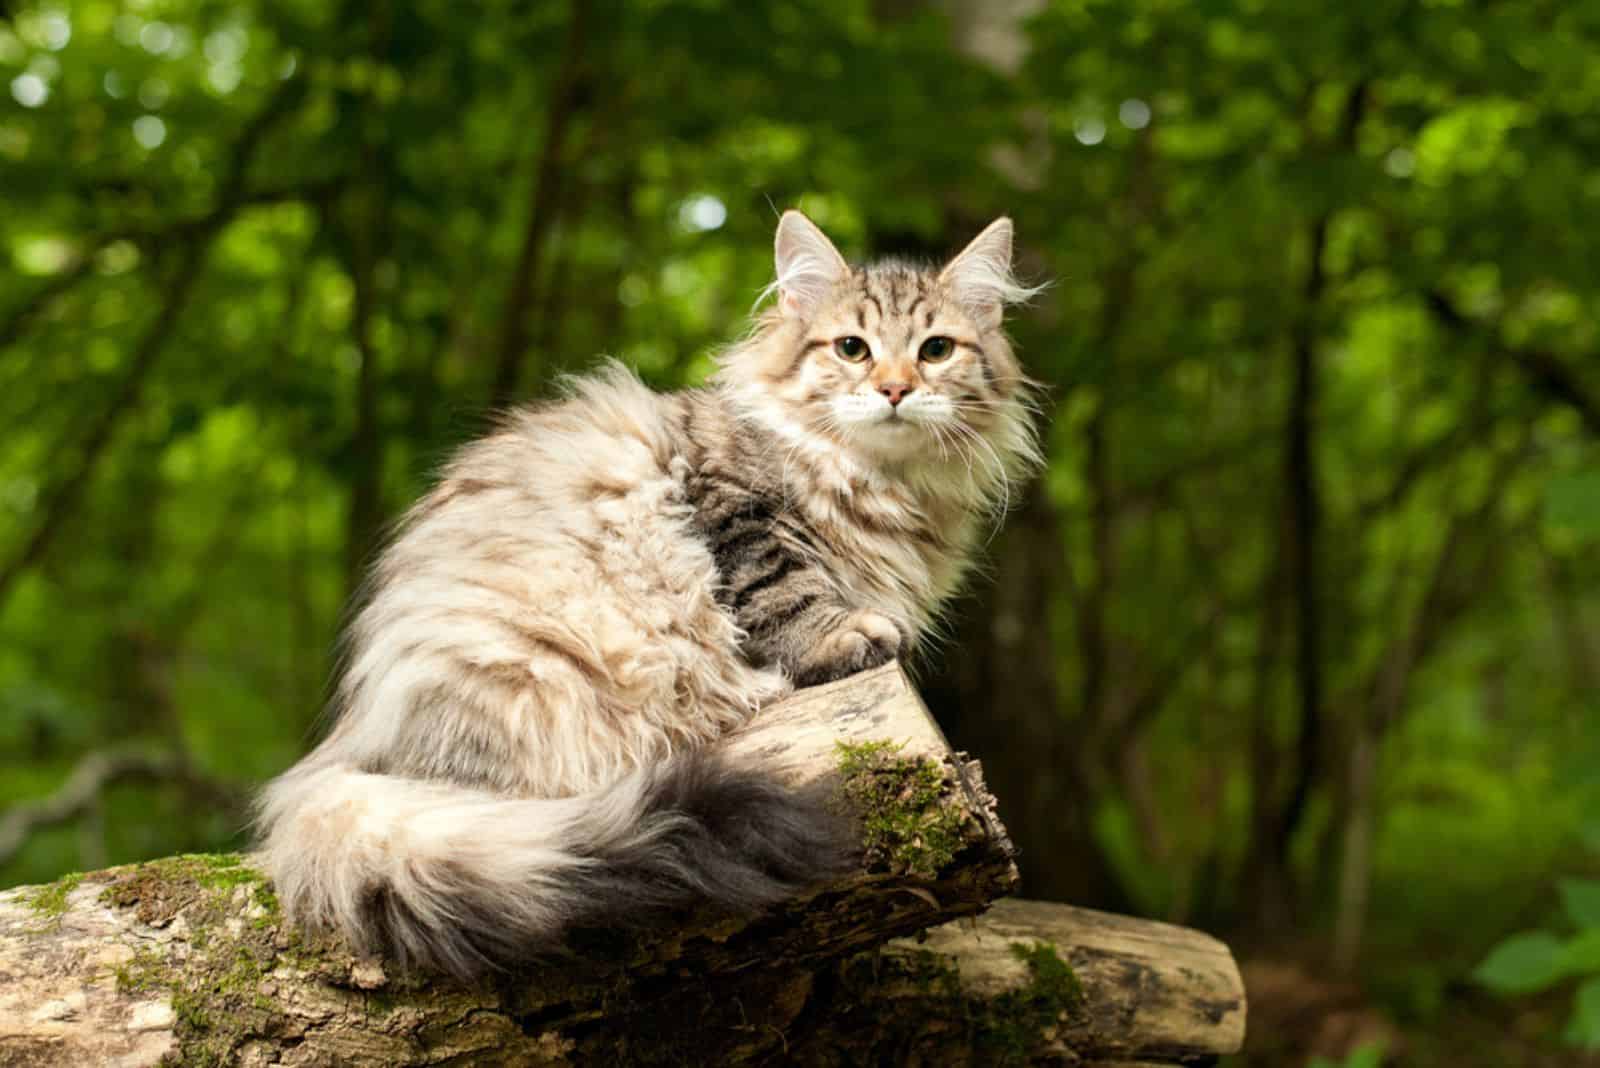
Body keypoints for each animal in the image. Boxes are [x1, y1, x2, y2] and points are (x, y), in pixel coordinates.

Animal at [256, 207, 1043, 978]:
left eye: (935, 350)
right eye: (852, 348)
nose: (895, 389)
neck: (882, 483)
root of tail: (349, 747)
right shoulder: (732, 510)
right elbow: (786, 592)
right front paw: (846, 638)